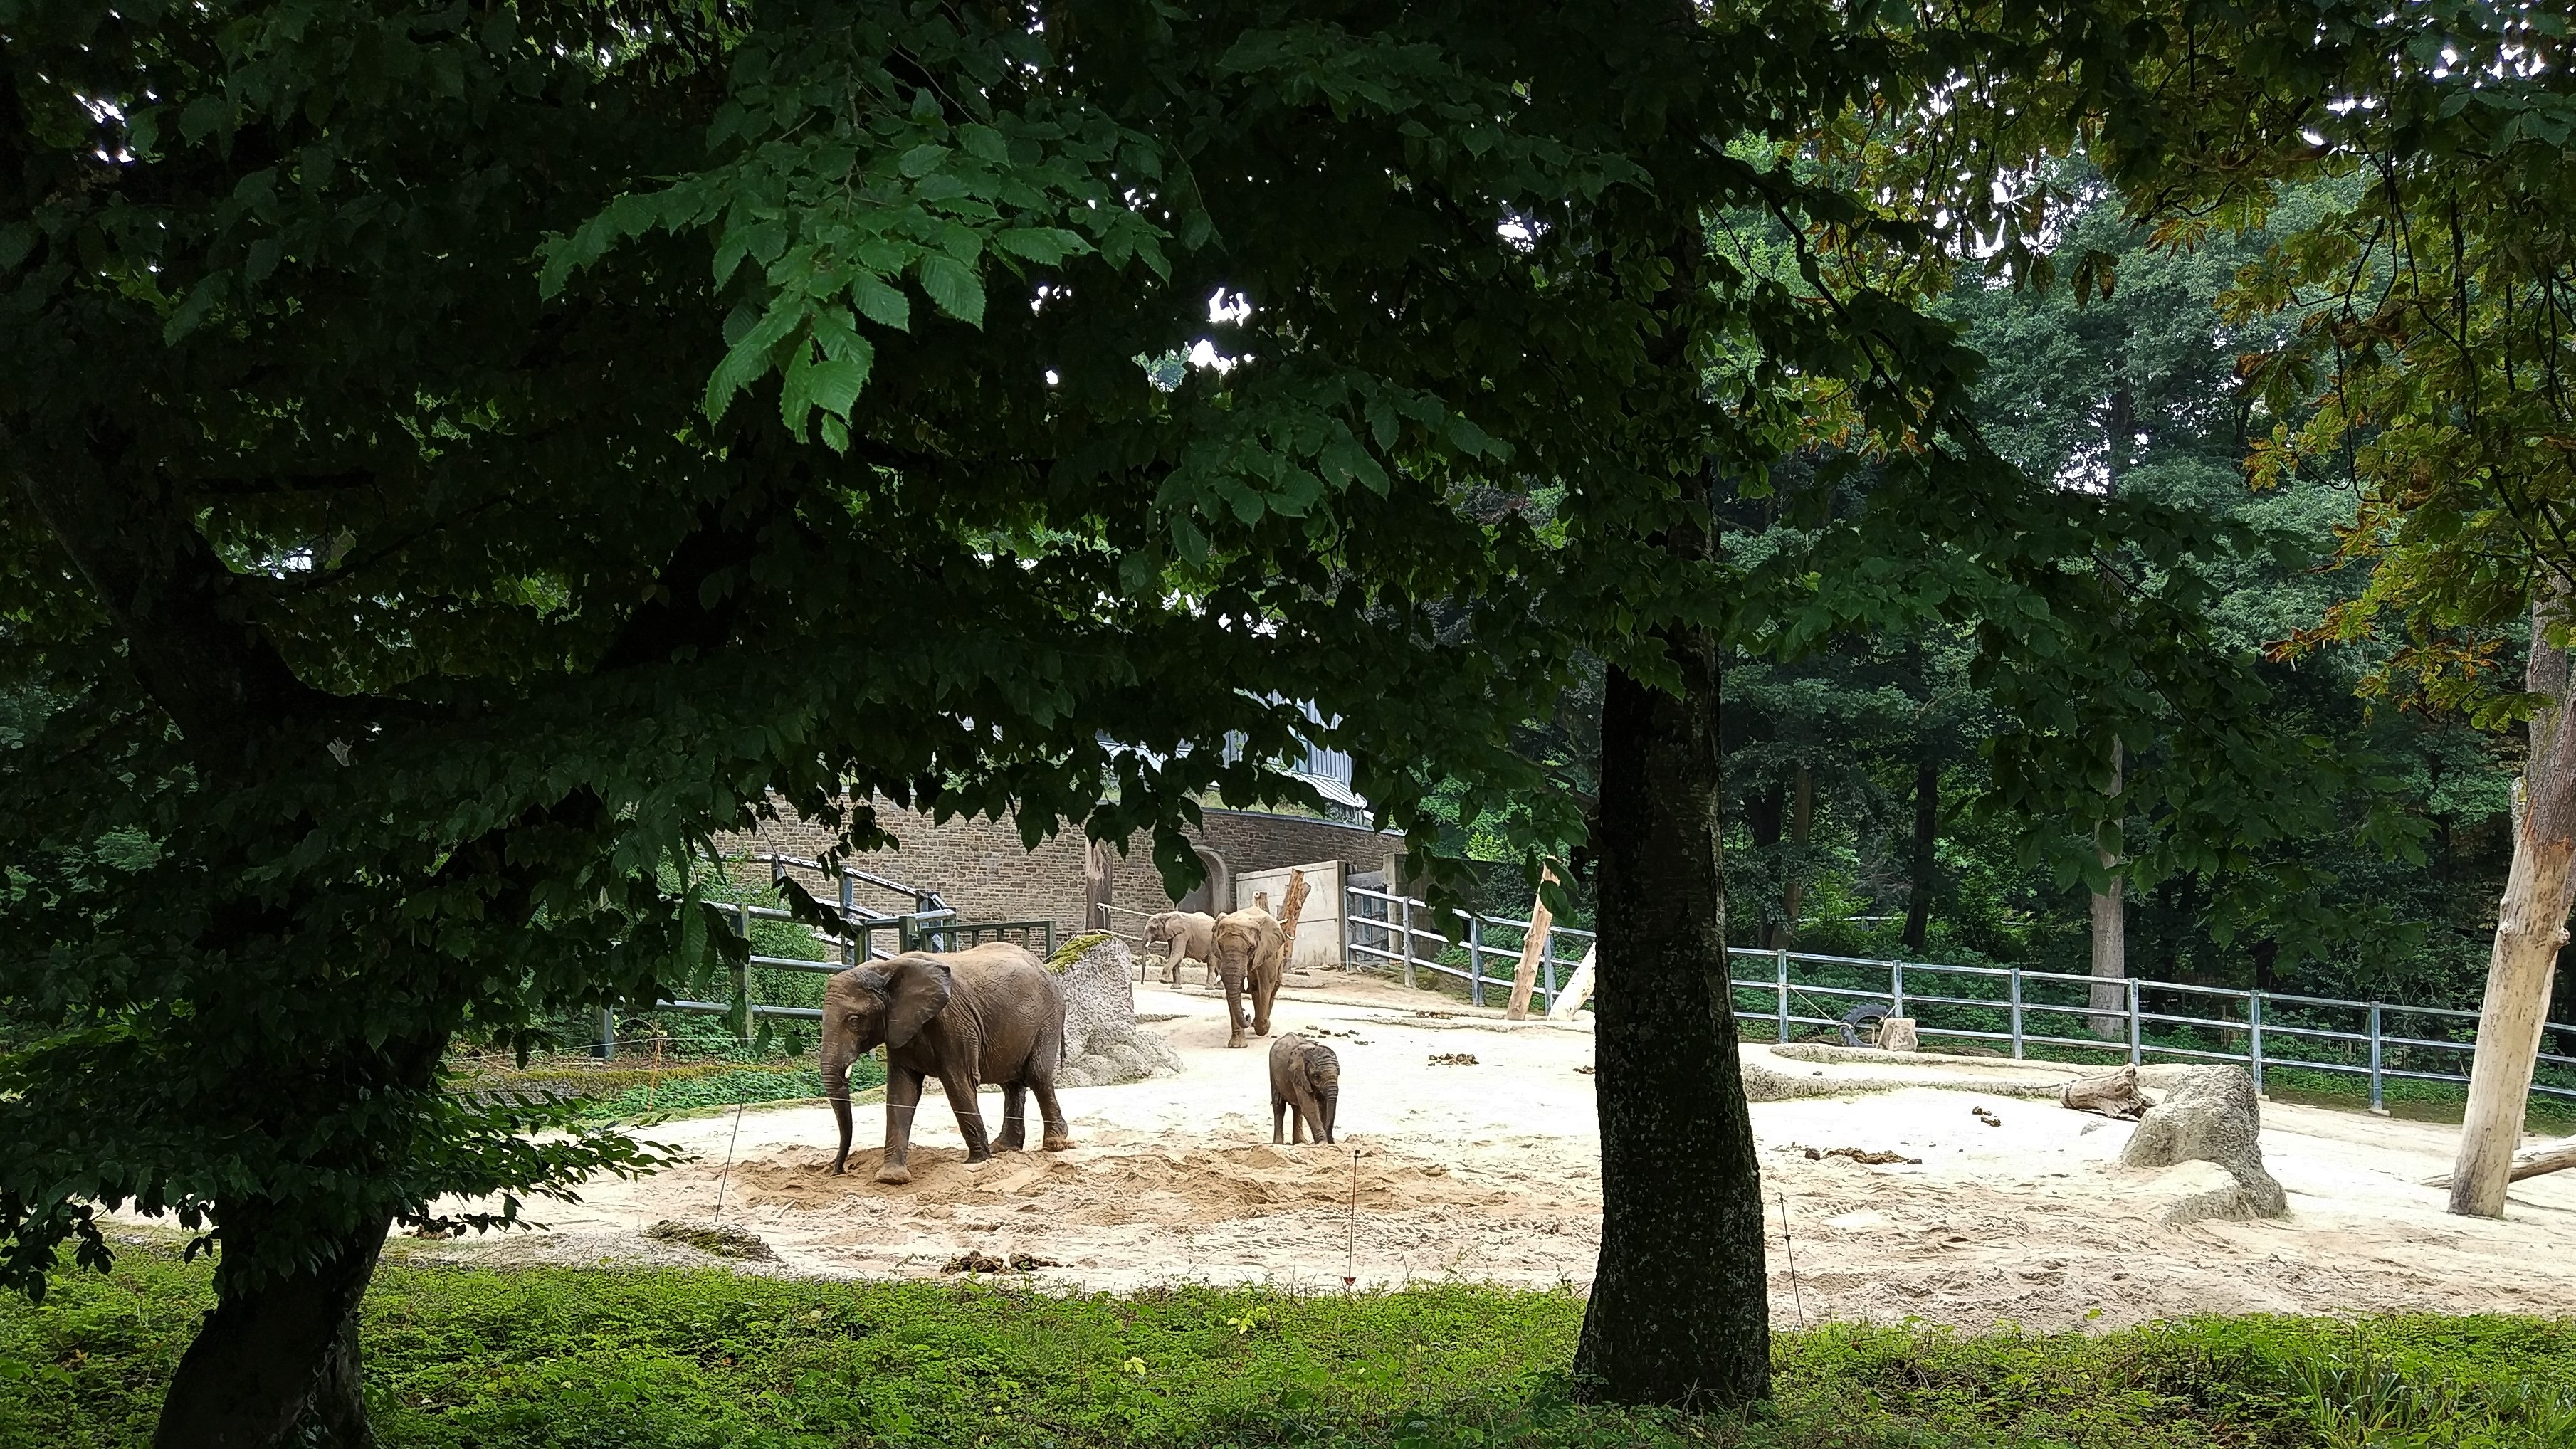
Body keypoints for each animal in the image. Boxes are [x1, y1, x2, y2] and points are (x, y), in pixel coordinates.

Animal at [820, 941, 1074, 1184]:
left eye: (854, 1020)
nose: (840, 1170)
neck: (886, 969)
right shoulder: (899, 1027)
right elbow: (902, 1091)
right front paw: (891, 1178)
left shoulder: (954, 1022)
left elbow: (957, 1083)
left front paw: (977, 1162)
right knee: (1011, 1085)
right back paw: (1004, 1148)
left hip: (1049, 1018)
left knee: (1037, 1076)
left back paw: (1055, 1143)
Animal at [1208, 905, 1285, 1048]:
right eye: (1220, 946)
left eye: (1251, 948)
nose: (1247, 1015)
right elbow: (1233, 991)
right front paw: (1237, 1046)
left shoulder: (1266, 952)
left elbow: (1266, 985)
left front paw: (1262, 1028)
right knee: (1255, 990)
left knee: (1272, 987)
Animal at [1269, 1034, 1340, 1144]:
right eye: (1316, 1076)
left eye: (1339, 1073)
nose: (1332, 1141)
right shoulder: (1298, 1074)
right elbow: (1309, 1105)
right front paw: (1323, 1142)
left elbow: (1323, 1104)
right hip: (1273, 1072)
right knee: (1279, 1105)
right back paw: (1278, 1143)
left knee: (1297, 1108)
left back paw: (1301, 1142)